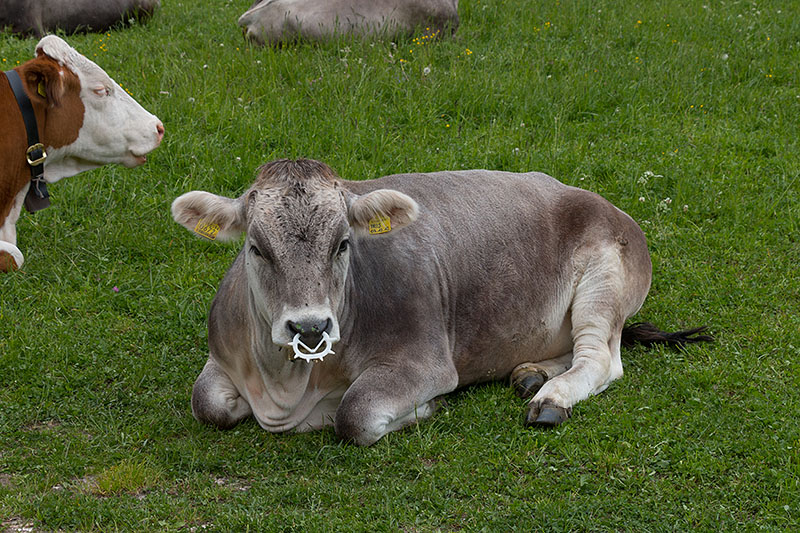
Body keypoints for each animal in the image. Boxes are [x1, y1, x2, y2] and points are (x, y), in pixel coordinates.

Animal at [169, 157, 708, 444]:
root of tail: (610, 206)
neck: (287, 384)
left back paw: (550, 398)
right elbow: (206, 403)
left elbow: (354, 413)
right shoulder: (222, 357)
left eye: (342, 243)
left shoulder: (424, 360)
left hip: (604, 280)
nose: (309, 328)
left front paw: (419, 409)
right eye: (256, 248)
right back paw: (530, 374)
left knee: (599, 356)